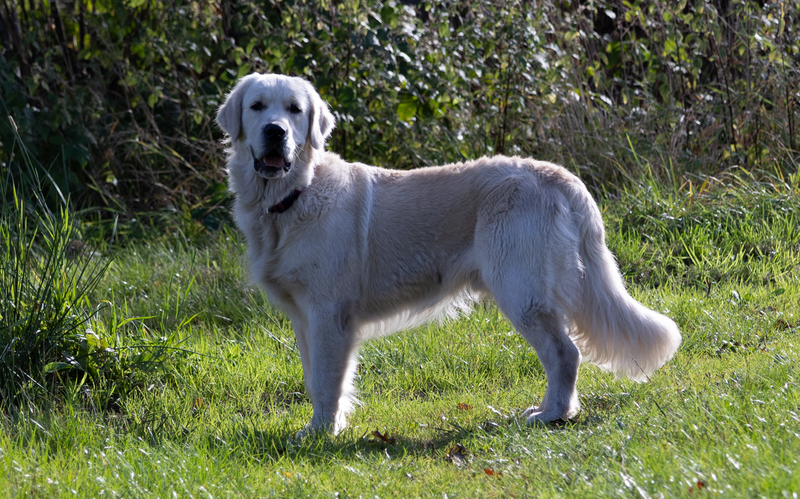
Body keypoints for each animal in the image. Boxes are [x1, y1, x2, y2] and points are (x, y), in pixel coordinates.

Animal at [216, 73, 681, 435]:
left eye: (295, 110)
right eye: (257, 106)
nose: (275, 131)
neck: (294, 195)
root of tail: (558, 175)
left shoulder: (330, 314)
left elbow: (329, 381)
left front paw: (321, 433)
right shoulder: (304, 317)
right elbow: (314, 380)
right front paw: (318, 428)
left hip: (521, 291)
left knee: (565, 353)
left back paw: (551, 414)